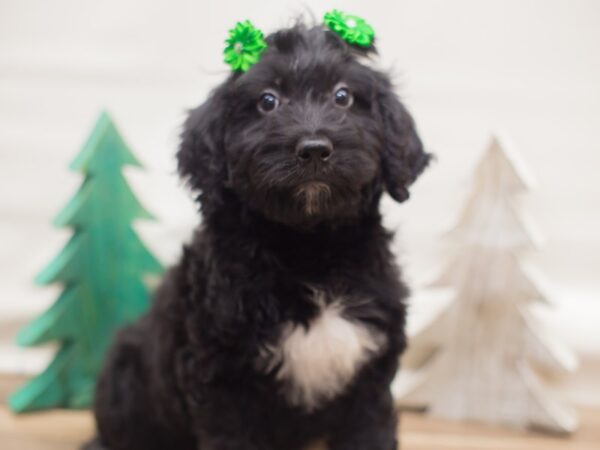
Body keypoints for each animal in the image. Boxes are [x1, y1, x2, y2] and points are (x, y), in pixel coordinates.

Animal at [86, 20, 428, 450]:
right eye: (268, 101)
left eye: (343, 96)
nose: (314, 148)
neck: (310, 249)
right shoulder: (224, 376)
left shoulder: (370, 369)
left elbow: (370, 432)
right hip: (127, 373)